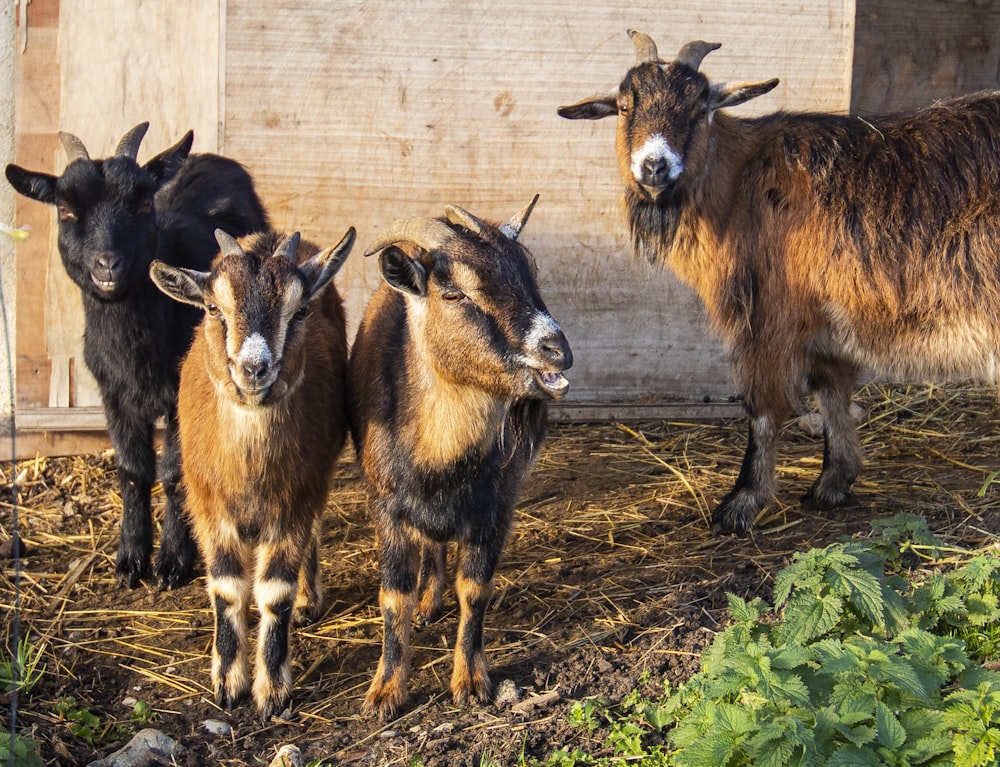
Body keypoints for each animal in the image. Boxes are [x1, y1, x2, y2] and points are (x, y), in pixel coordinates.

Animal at [5, 123, 270, 584]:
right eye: (65, 210)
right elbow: (132, 471)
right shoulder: (114, 397)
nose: (107, 265)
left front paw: (173, 561)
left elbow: (175, 472)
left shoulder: (182, 396)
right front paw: (130, 557)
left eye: (144, 204)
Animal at [148, 228, 352, 720]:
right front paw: (227, 681)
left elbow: (275, 592)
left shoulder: (296, 498)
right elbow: (227, 589)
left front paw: (273, 690)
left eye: (300, 311)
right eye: (212, 308)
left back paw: (308, 598)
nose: (254, 369)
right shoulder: (209, 507)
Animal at [350, 196, 572, 720]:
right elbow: (394, 595)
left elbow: (475, 590)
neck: (442, 459)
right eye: (454, 294)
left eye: (530, 278)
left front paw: (471, 682)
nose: (557, 350)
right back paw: (429, 602)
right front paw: (385, 692)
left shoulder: (497, 505)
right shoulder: (386, 506)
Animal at [560, 30, 1000, 536]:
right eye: (624, 106)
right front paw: (834, 480)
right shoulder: (825, 318)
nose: (655, 167)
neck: (739, 184)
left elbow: (764, 409)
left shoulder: (771, 314)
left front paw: (742, 501)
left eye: (699, 106)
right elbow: (831, 390)